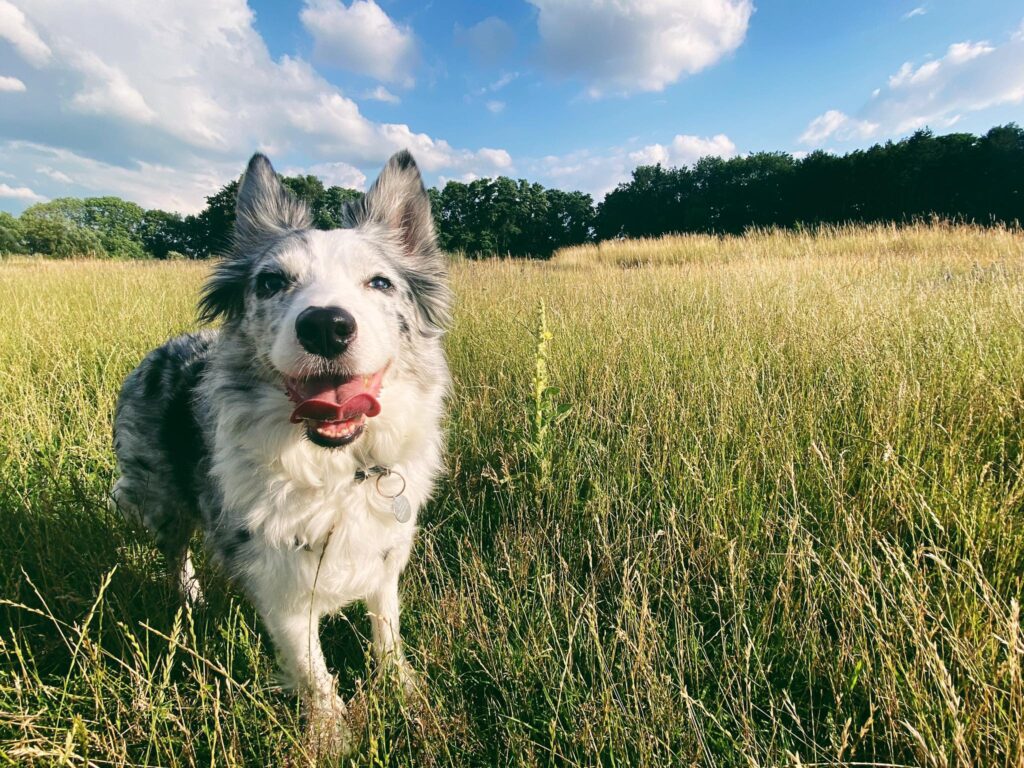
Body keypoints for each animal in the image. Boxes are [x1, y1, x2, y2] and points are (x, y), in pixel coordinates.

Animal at [110, 151, 450, 753]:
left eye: (380, 282)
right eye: (271, 281)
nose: (326, 325)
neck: (338, 470)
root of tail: (163, 347)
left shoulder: (385, 558)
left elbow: (388, 634)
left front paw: (409, 698)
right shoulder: (282, 586)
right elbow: (313, 673)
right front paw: (333, 741)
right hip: (162, 499)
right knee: (174, 552)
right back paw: (191, 597)